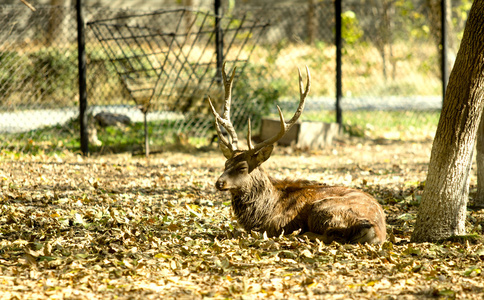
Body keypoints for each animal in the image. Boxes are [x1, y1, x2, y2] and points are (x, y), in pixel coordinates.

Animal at [208, 63, 386, 244]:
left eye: (243, 167)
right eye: (226, 164)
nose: (219, 182)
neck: (265, 210)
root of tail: (377, 231)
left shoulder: (276, 225)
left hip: (323, 208)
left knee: (331, 234)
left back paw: (301, 234)